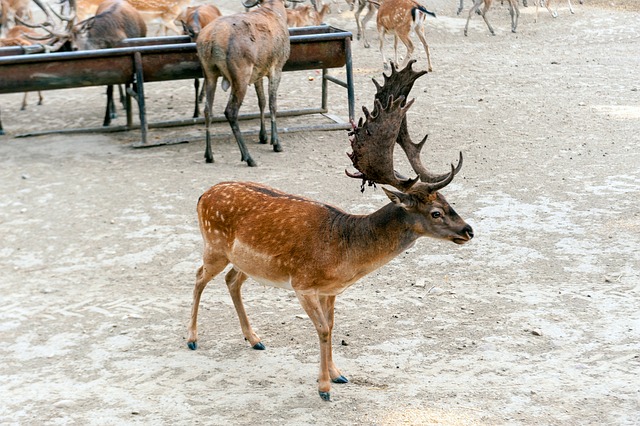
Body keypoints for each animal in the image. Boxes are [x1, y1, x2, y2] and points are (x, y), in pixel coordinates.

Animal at [186, 60, 474, 401]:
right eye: (436, 212)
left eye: (448, 201)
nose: (468, 230)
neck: (344, 254)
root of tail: (203, 195)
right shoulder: (303, 284)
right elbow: (323, 329)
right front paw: (324, 387)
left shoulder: (331, 290)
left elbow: (333, 326)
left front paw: (337, 375)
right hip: (214, 245)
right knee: (199, 277)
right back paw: (191, 338)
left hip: (245, 261)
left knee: (232, 280)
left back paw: (254, 338)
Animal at [196, 0, 292, 167]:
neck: (275, 10)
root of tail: (211, 39)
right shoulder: (277, 65)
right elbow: (273, 103)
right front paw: (276, 143)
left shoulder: (259, 72)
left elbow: (262, 101)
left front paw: (263, 136)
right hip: (241, 73)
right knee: (231, 111)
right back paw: (248, 157)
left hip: (209, 72)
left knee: (208, 110)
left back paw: (209, 155)